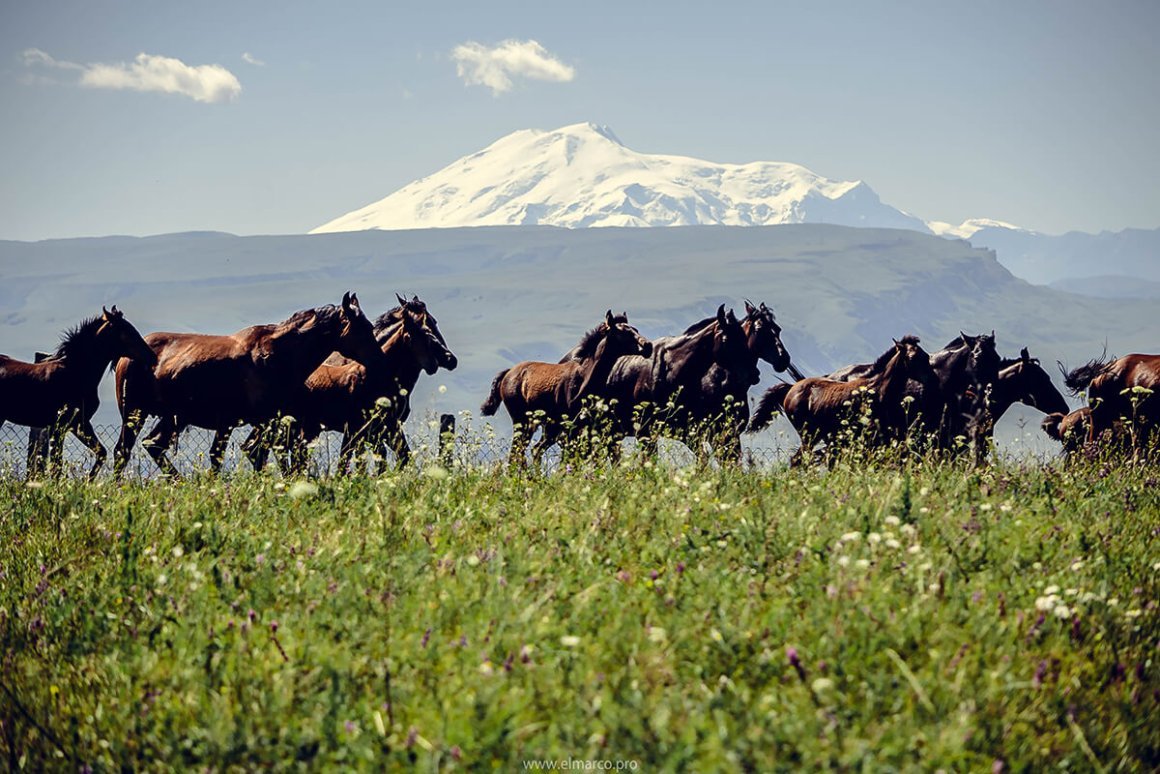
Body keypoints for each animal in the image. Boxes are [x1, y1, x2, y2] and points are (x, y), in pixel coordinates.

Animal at [0, 308, 156, 478]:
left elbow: (101, 452)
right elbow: (56, 467)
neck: (75, 373)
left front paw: (88, 480)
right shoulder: (58, 426)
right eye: (127, 331)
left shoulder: (79, 424)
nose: (152, 357)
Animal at [480, 310, 654, 468]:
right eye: (622, 332)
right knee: (518, 451)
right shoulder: (570, 430)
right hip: (522, 421)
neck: (583, 381)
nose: (648, 346)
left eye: (636, 329)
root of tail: (508, 372)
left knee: (531, 450)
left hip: (542, 426)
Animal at [765, 334, 928, 466]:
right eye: (912, 357)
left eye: (925, 355)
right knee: (799, 459)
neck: (876, 390)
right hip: (809, 436)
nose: (931, 379)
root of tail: (791, 389)